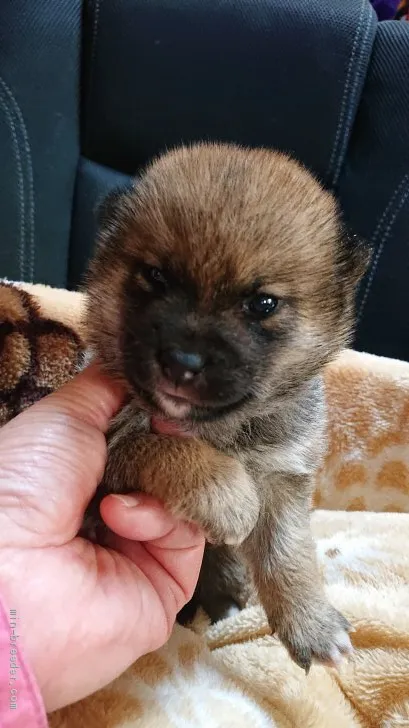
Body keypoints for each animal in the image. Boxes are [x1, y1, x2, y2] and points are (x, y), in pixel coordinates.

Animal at [83, 142, 366, 672]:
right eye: (156, 276)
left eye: (263, 303)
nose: (182, 362)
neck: (221, 429)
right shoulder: (114, 446)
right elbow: (171, 450)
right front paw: (230, 498)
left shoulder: (283, 472)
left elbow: (287, 551)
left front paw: (311, 623)